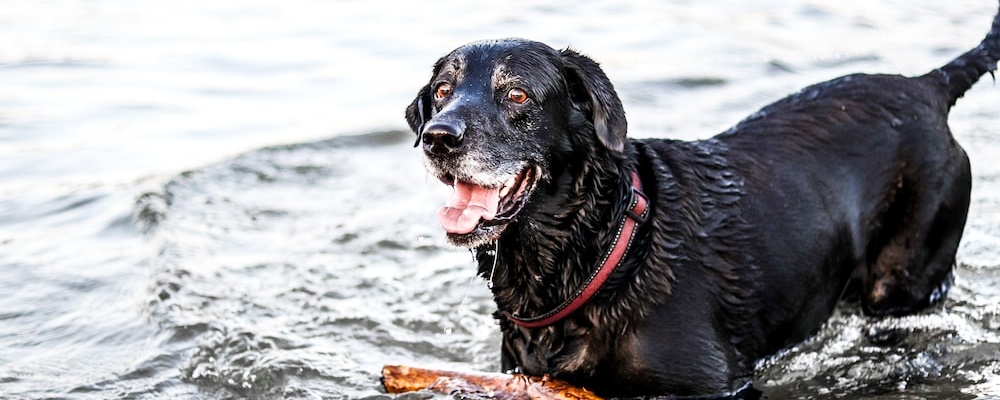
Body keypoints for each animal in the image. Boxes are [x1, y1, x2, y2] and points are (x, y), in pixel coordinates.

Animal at [402, 4, 996, 398]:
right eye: (441, 92)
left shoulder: (716, 385)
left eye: (517, 94)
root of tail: (928, 86)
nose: (438, 137)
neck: (602, 249)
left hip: (906, 277)